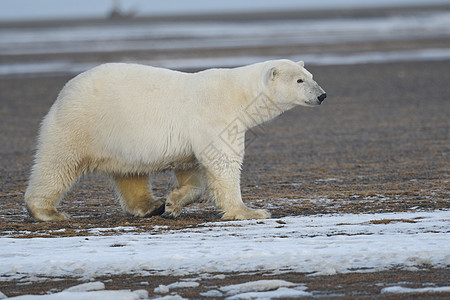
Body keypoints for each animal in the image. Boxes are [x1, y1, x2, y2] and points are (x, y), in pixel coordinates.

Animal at [24, 59, 326, 221]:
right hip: (81, 124)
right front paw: (250, 211)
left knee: (130, 174)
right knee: (57, 164)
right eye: (299, 80)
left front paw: (172, 203)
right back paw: (48, 211)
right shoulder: (214, 116)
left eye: (311, 76)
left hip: (119, 139)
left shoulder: (193, 136)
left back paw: (150, 205)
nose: (322, 95)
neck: (239, 95)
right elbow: (223, 162)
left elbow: (192, 171)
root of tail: (65, 90)